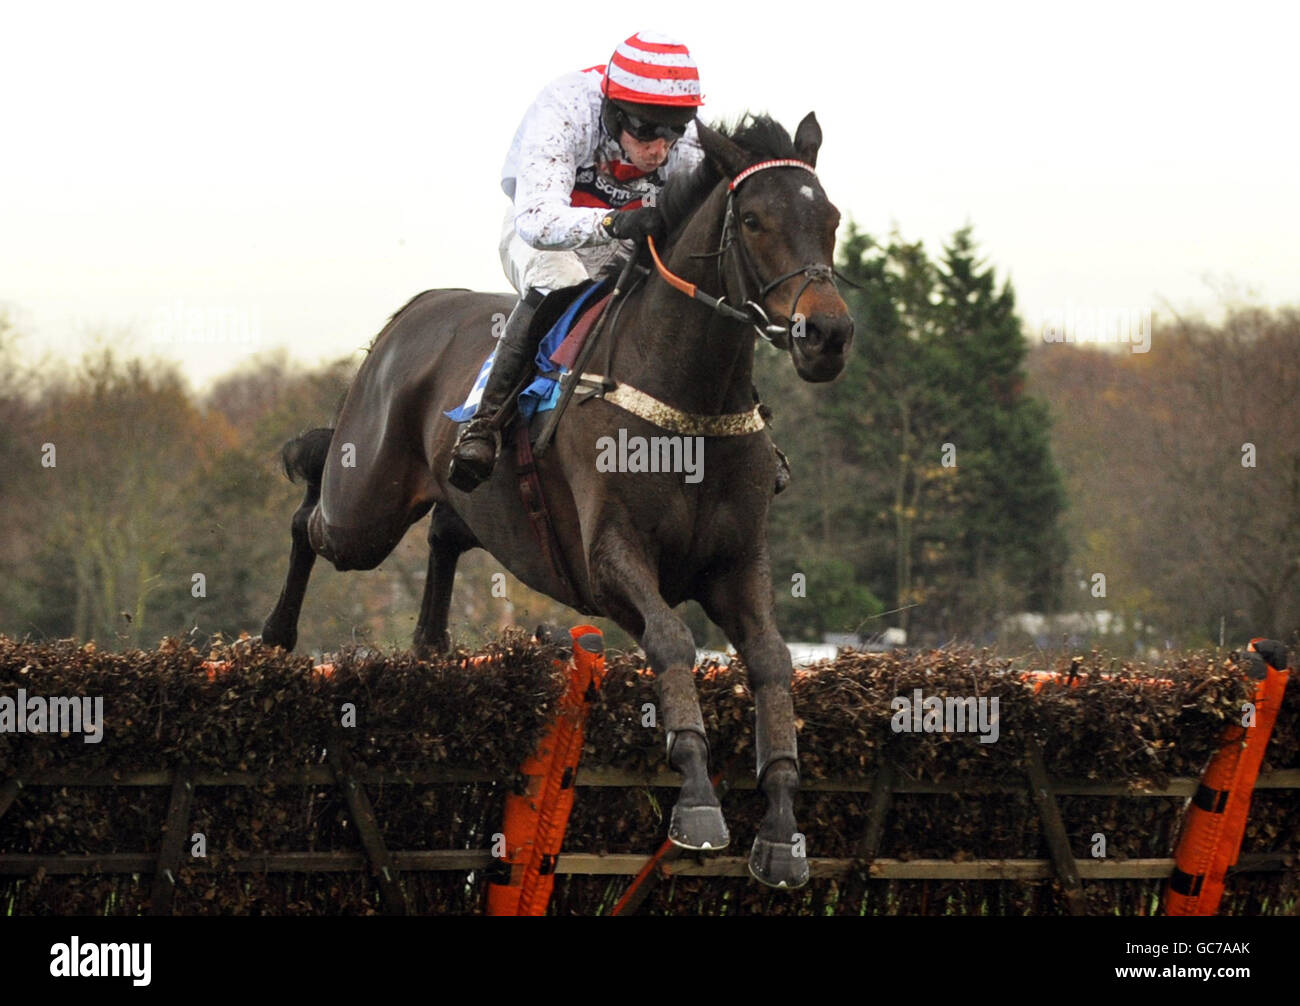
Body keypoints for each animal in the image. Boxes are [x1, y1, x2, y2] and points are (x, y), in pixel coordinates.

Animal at [261, 112, 852, 889]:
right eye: (753, 220)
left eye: (832, 218)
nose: (829, 336)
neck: (688, 402)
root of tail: (415, 309)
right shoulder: (610, 561)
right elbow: (672, 638)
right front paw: (697, 802)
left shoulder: (736, 566)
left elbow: (775, 661)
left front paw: (782, 829)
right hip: (365, 507)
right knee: (310, 514)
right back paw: (275, 637)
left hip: (473, 506)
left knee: (445, 532)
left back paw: (430, 648)